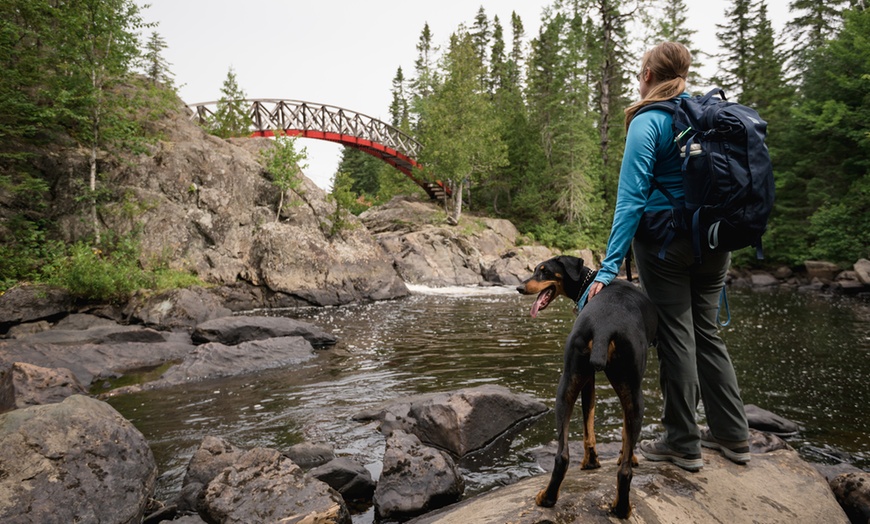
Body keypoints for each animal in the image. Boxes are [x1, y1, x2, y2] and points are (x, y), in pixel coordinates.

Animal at [520, 256, 656, 516]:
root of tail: (605, 326)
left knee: (563, 456)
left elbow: (594, 424)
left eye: (544, 271)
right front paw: (609, 459)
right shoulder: (600, 381)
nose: (519, 288)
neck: (590, 281)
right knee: (615, 468)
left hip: (570, 382)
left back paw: (550, 498)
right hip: (628, 391)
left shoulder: (593, 380)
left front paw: (598, 460)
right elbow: (611, 429)